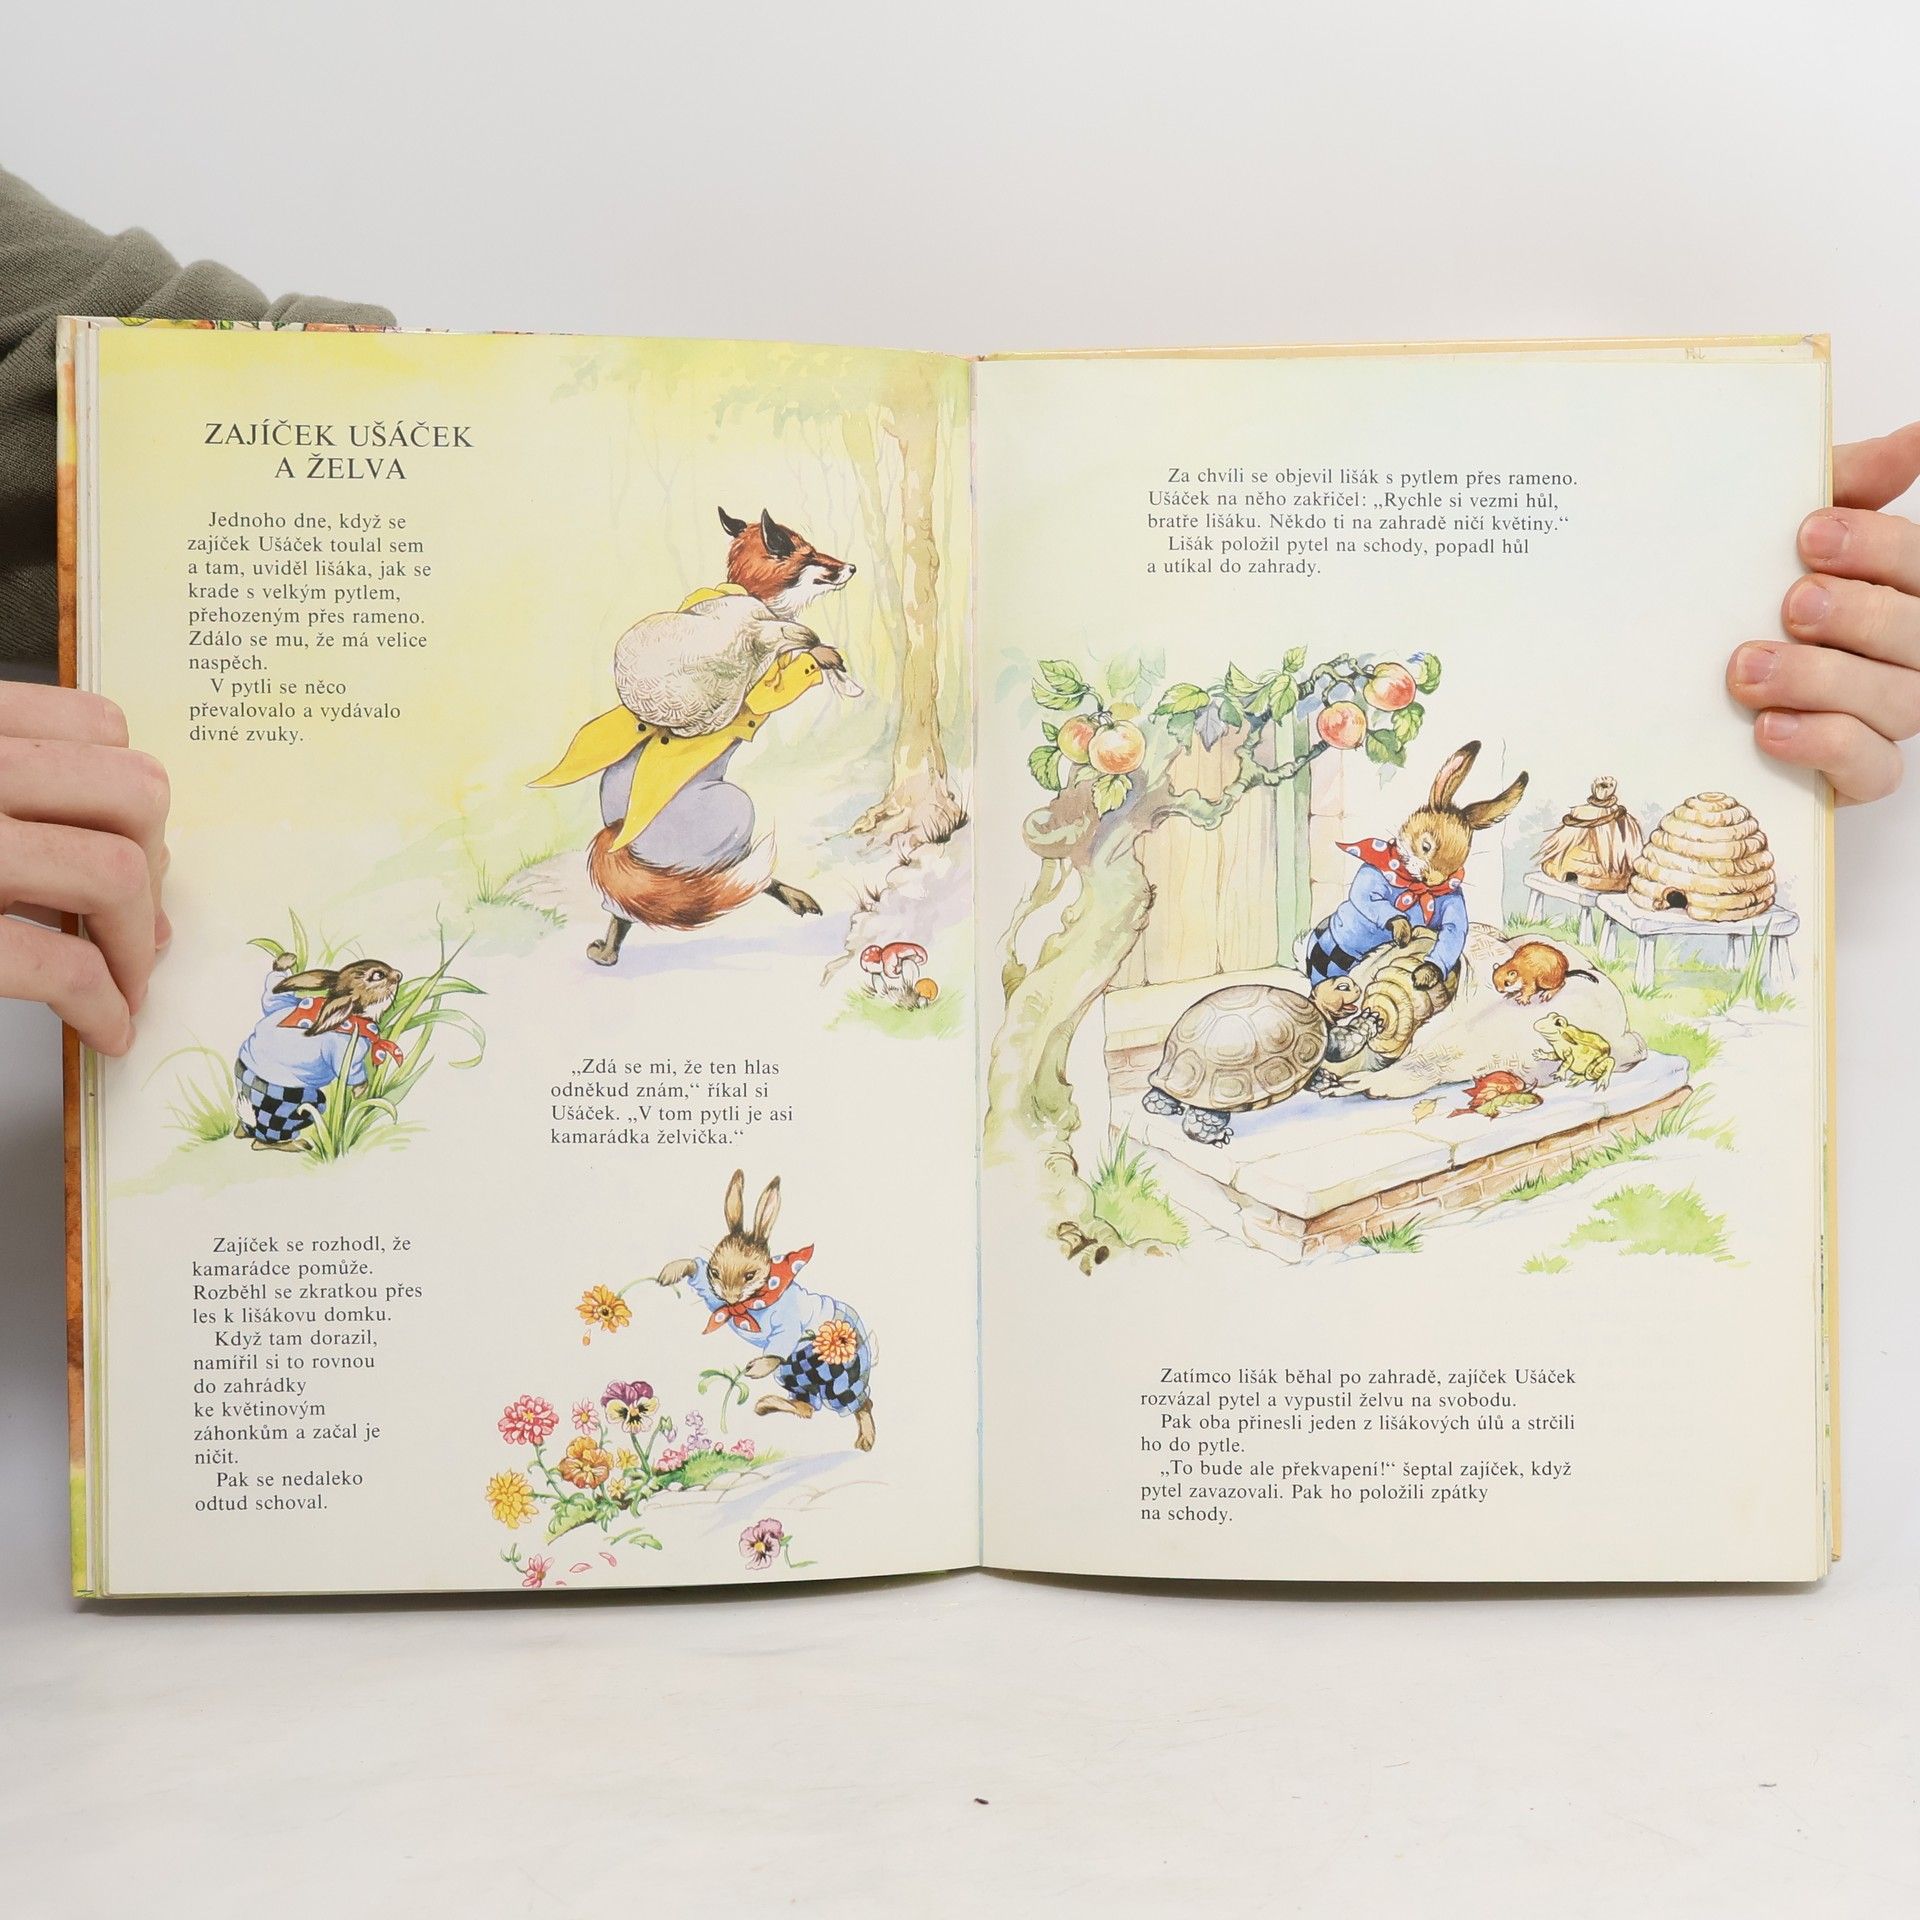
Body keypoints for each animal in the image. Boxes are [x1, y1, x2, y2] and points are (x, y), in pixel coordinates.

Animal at [233, 953, 405, 1150]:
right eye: (377, 976)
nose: (399, 974)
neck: (351, 1016)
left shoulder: (282, 1004)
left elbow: (271, 996)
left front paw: (286, 961)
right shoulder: (346, 1052)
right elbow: (352, 1072)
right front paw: (360, 1091)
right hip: (289, 1109)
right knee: (261, 1142)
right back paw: (297, 1145)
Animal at [655, 1170, 876, 1451]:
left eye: (750, 1275)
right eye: (715, 1272)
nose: (730, 1296)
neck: (752, 1300)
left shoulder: (788, 1325)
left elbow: (778, 1346)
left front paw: (757, 1368)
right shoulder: (715, 1297)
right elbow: (699, 1276)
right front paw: (671, 1271)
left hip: (842, 1377)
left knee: (861, 1404)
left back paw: (866, 1440)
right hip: (796, 1377)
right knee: (806, 1409)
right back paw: (765, 1405)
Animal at [1304, 739, 1528, 996]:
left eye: (1462, 859)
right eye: (1426, 845)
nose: (1434, 880)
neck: (1416, 888)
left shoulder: (1452, 905)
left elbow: (1453, 933)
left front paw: (1426, 974)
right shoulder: (1372, 876)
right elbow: (1368, 899)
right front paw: (1402, 932)